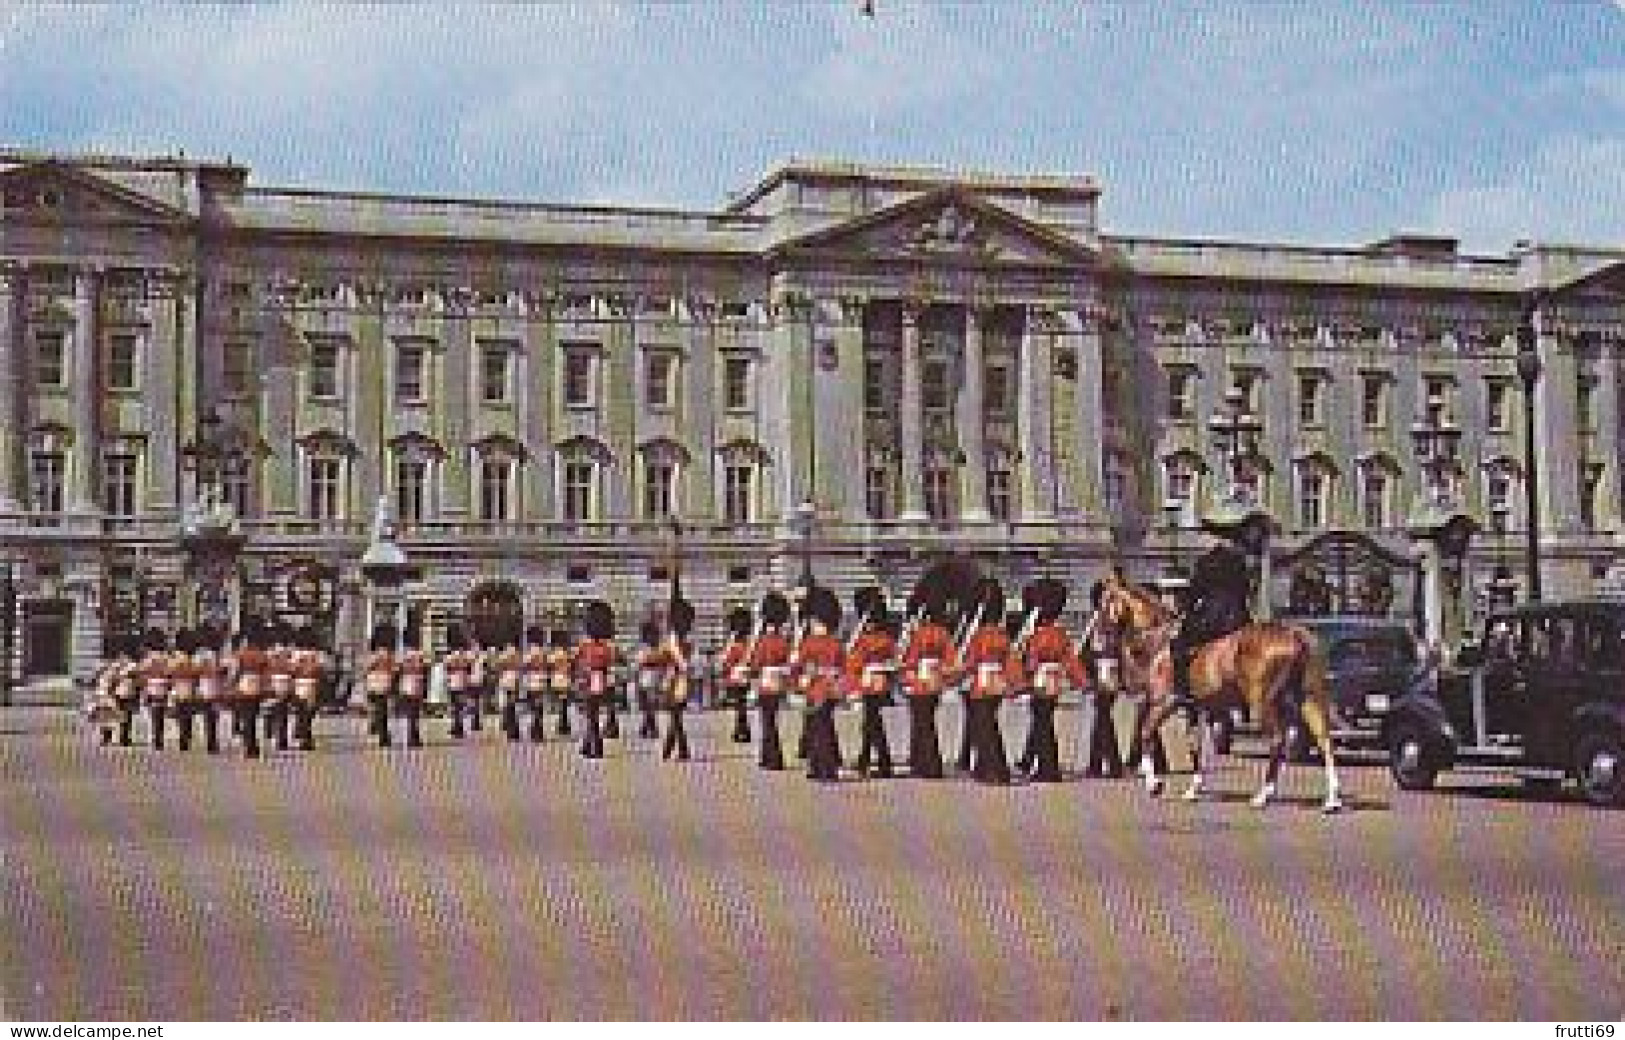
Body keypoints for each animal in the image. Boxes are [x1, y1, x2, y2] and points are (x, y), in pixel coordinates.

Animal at [1092, 572, 1345, 809]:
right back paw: (1332, 799)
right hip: (1308, 698)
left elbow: (1145, 733)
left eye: (1106, 601)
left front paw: (1154, 784)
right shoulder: (1198, 710)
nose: (1097, 637)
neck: (1160, 642)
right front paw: (1193, 789)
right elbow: (1197, 747)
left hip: (1262, 703)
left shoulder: (1165, 703)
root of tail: (1294, 634)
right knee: (1324, 739)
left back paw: (1263, 795)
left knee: (1278, 739)